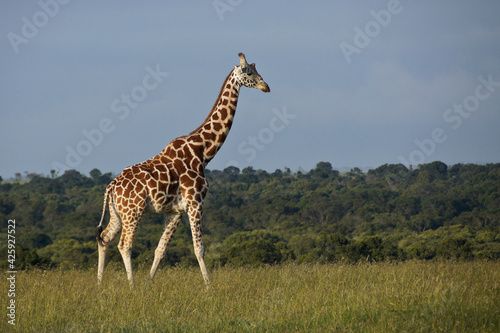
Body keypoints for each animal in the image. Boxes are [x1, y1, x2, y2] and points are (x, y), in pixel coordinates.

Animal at [96, 53, 270, 286]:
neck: (203, 151)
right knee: (125, 244)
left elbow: (160, 250)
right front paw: (209, 287)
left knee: (105, 239)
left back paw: (99, 284)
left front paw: (148, 284)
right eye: (249, 72)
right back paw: (131, 286)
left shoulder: (175, 211)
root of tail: (111, 187)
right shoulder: (195, 203)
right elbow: (199, 249)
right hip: (133, 211)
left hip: (117, 214)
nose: (266, 86)